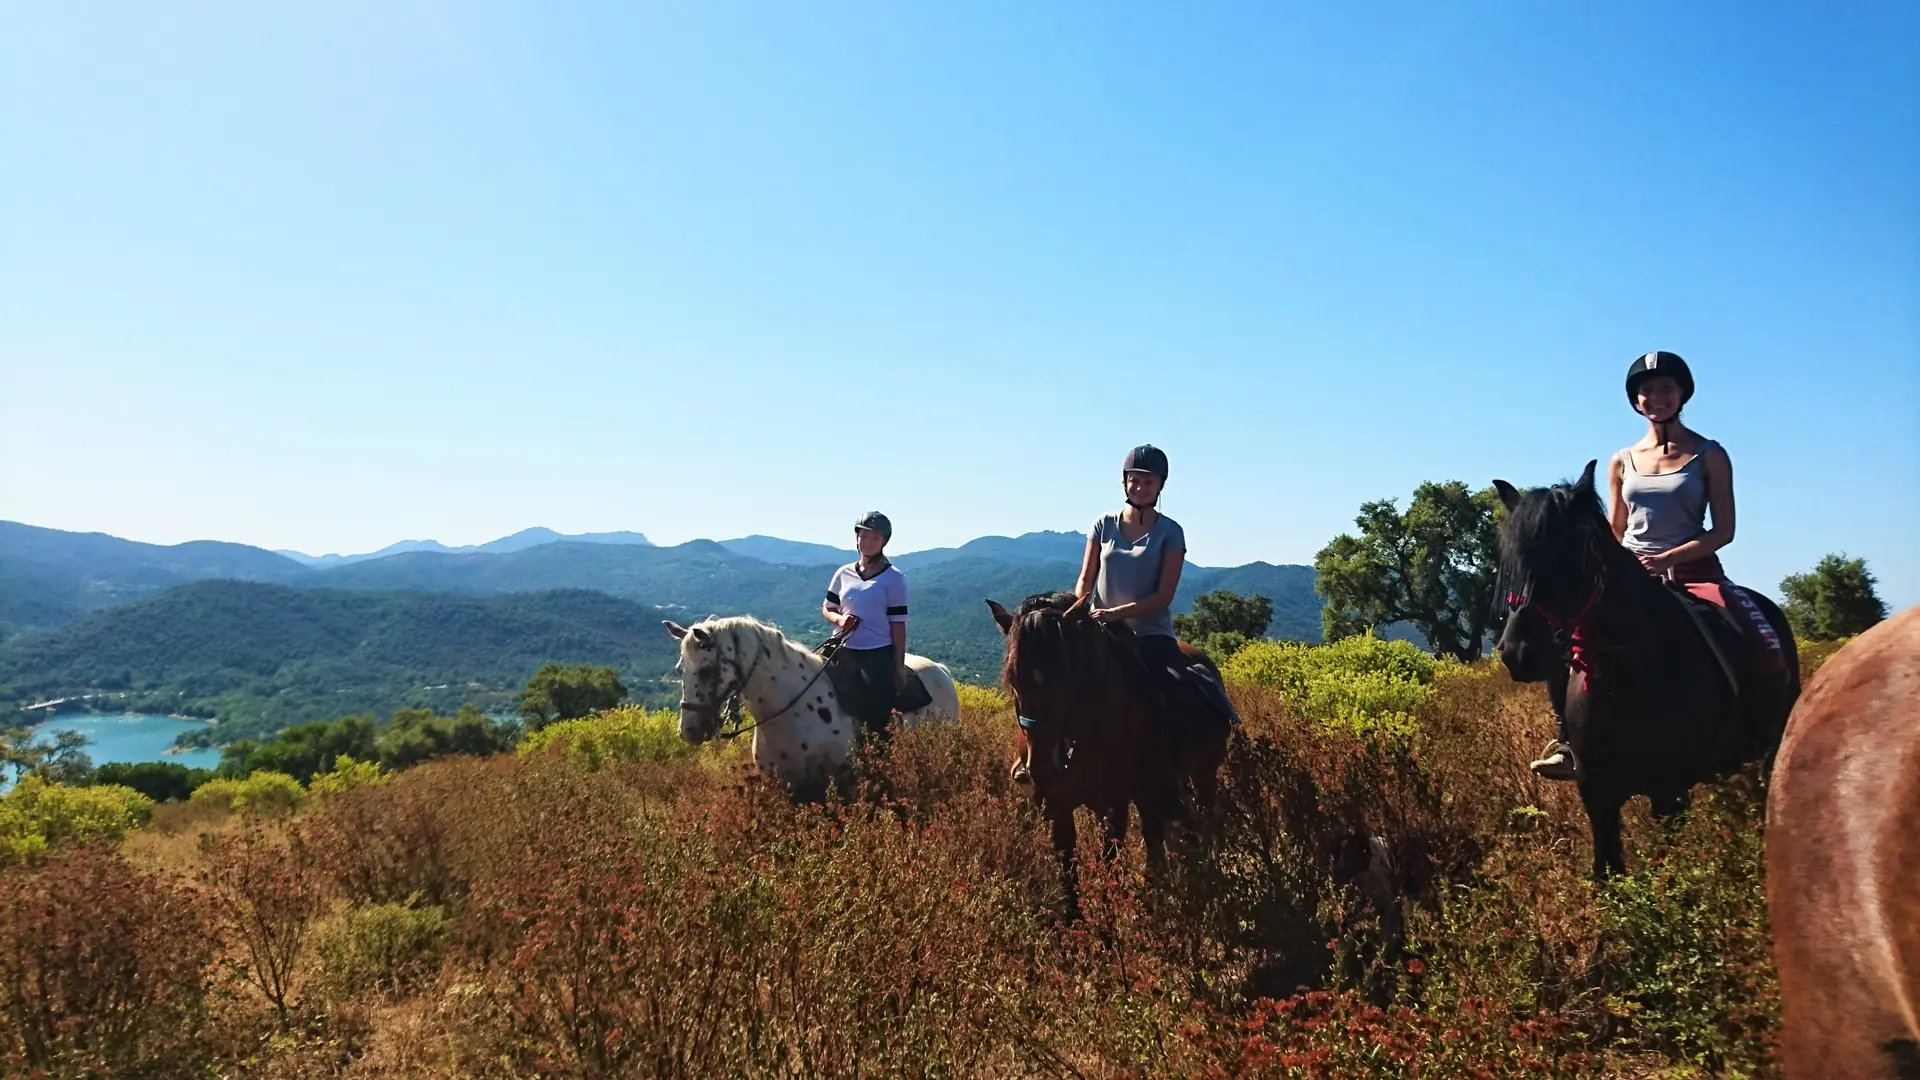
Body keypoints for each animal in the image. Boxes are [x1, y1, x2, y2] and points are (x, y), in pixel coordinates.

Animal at [990, 588, 1228, 907]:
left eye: (1068, 674)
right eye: (1012, 678)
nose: (1042, 767)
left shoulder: (1114, 805)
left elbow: (1109, 867)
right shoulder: (1058, 806)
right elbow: (1068, 877)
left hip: (1204, 774)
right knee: (1156, 832)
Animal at [1482, 461, 1797, 876]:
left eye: (1579, 549)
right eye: (1514, 555)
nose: (1519, 652)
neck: (1626, 681)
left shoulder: (1670, 794)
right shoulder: (1597, 795)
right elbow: (1608, 873)